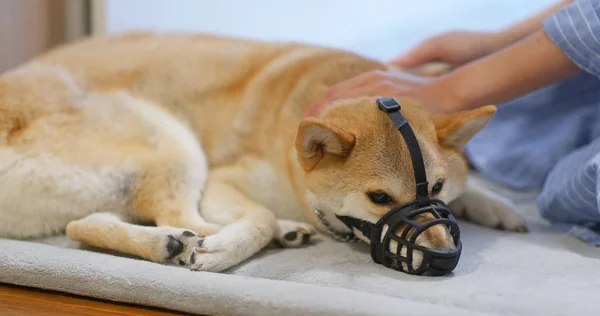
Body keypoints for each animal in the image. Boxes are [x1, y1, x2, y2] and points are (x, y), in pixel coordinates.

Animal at [0, 33, 524, 272]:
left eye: (435, 186)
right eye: (379, 198)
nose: (444, 258)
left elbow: (470, 188)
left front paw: (496, 205)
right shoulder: (225, 179)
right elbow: (259, 215)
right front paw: (225, 249)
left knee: (83, 224)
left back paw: (165, 242)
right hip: (173, 138)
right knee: (180, 214)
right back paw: (210, 239)